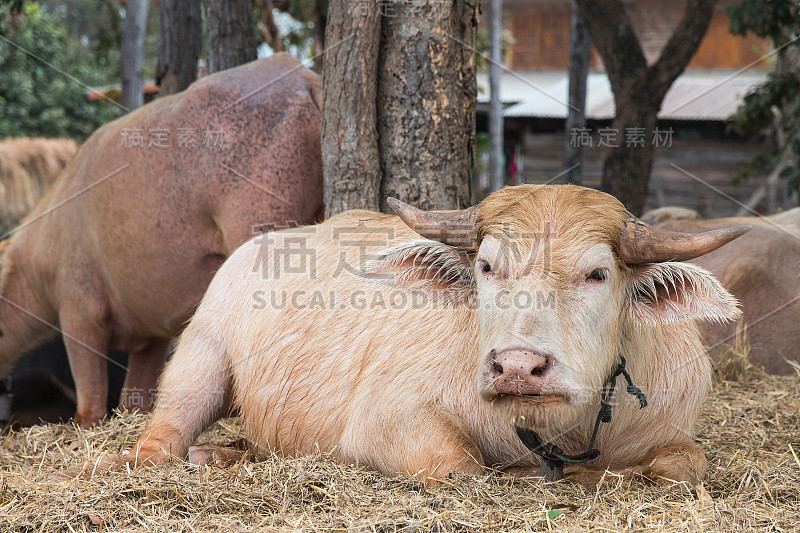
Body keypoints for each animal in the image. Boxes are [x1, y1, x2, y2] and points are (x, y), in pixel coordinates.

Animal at [65, 185, 748, 484]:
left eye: (598, 273)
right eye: (486, 266)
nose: (517, 366)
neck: (564, 432)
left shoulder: (672, 428)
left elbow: (685, 465)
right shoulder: (387, 419)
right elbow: (461, 467)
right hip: (201, 356)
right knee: (165, 431)